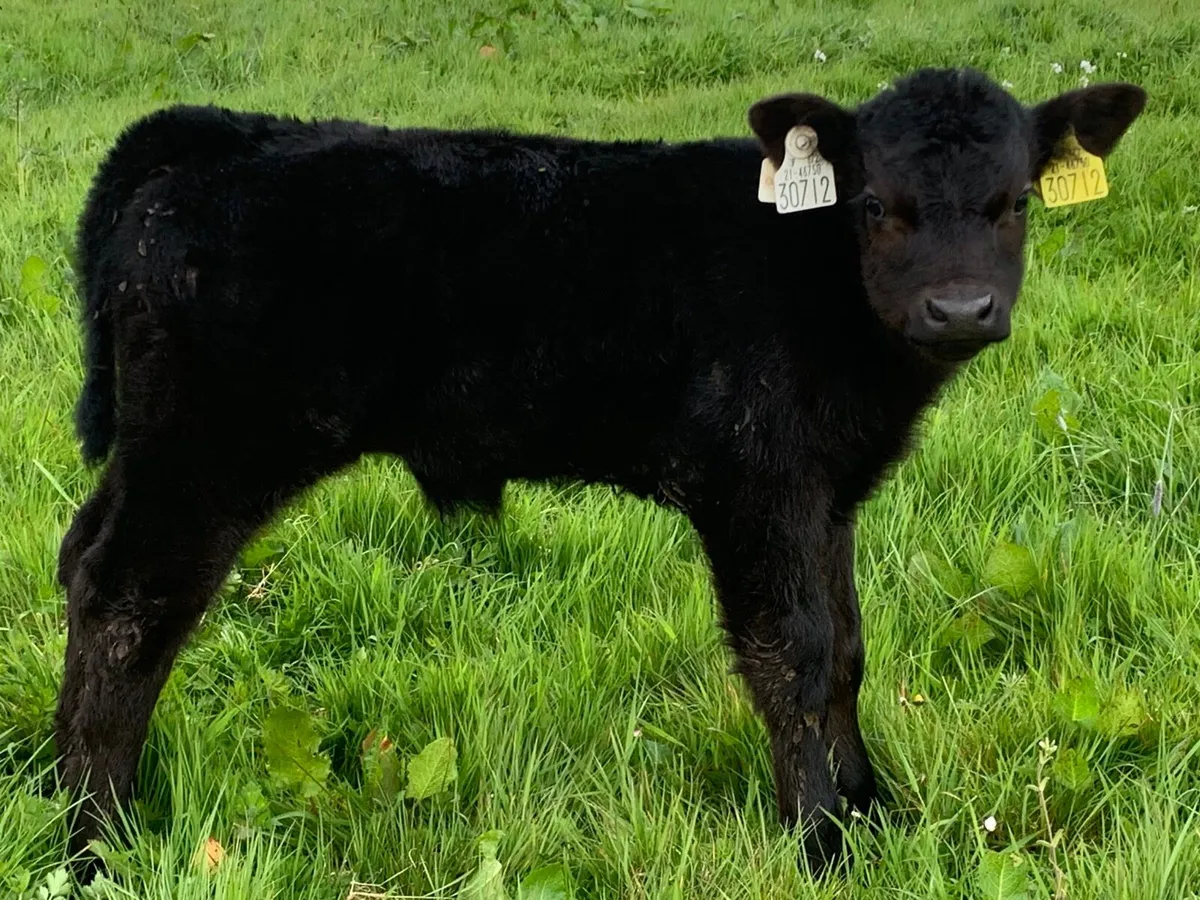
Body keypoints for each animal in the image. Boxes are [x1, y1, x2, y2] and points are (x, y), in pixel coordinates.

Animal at [54, 67, 1145, 877]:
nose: (959, 309)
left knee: (81, 558)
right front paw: (821, 841)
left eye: (1016, 202)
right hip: (207, 453)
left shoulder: (828, 493)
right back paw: (95, 842)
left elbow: (847, 649)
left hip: (155, 447)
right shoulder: (755, 486)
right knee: (127, 602)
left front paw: (874, 812)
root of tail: (216, 135)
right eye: (875, 203)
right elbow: (791, 654)